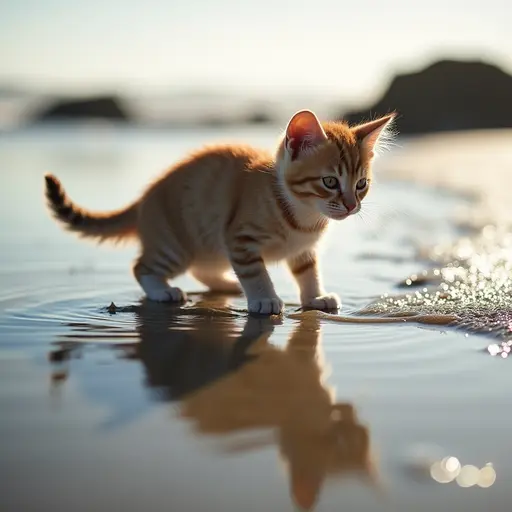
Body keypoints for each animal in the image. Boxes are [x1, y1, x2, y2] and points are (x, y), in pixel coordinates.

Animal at [45, 110, 396, 314]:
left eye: (361, 184)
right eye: (329, 181)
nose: (351, 205)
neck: (304, 217)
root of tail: (145, 197)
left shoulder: (303, 250)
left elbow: (308, 272)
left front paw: (315, 297)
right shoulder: (239, 239)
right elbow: (256, 273)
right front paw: (264, 298)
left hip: (208, 244)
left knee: (202, 269)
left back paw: (228, 284)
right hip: (176, 244)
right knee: (142, 267)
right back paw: (163, 291)